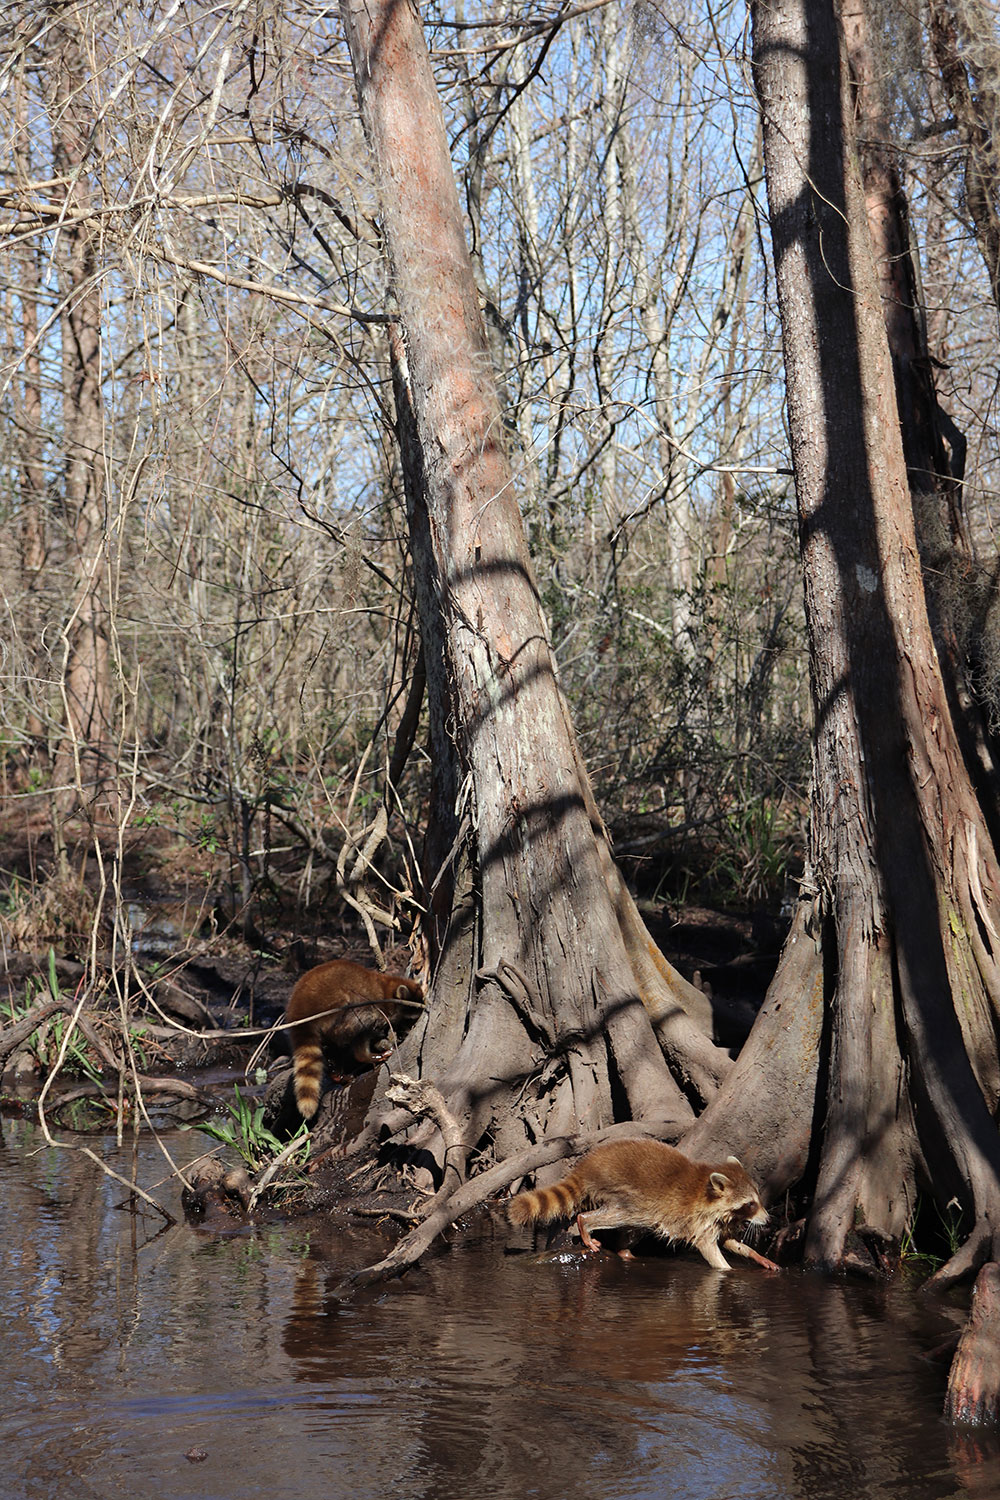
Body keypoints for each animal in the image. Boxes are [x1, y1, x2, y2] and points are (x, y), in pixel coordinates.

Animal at [509, 1140, 779, 1272]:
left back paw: (624, 1252)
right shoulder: (699, 1219)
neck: (707, 1190)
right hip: (624, 1193)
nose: (768, 1220)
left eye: (757, 1200)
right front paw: (727, 1270)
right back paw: (586, 1223)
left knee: (634, 1228)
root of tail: (588, 1167)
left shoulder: (719, 1220)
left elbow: (730, 1242)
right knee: (619, 1216)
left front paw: (757, 1256)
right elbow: (709, 1248)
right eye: (750, 1204)